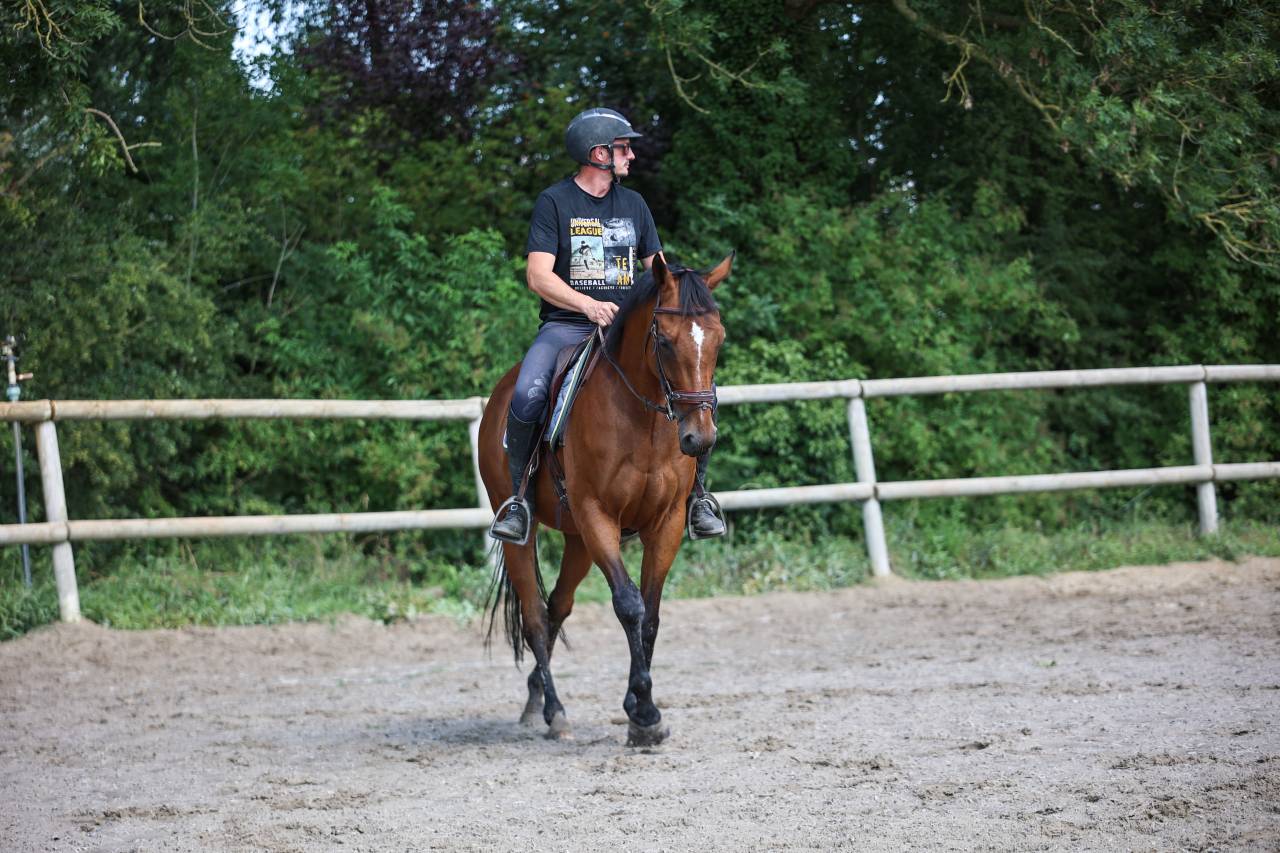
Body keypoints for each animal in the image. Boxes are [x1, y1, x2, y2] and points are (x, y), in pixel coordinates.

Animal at [478, 252, 732, 746]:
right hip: (531, 533)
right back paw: (554, 712)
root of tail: (499, 394)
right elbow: (629, 605)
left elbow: (650, 615)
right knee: (535, 617)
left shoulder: (666, 523)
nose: (699, 438)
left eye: (718, 339)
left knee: (557, 609)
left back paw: (535, 698)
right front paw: (645, 714)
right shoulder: (599, 517)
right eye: (665, 342)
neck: (643, 419)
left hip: (577, 540)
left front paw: (637, 709)